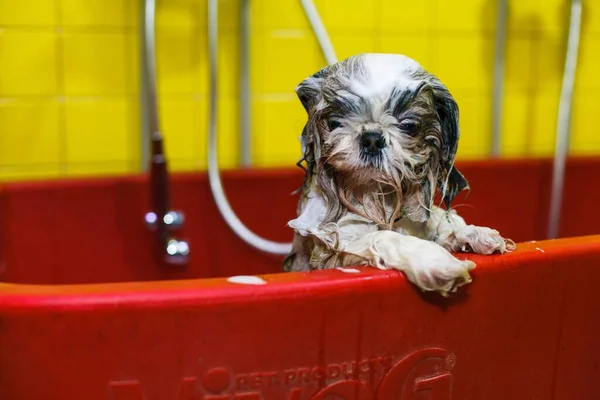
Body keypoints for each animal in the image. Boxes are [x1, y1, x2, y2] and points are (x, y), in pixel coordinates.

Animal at [284, 53, 516, 296]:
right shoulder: (328, 254)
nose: (372, 138)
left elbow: (442, 224)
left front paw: (473, 233)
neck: (375, 196)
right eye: (334, 122)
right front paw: (434, 261)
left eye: (409, 126)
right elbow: (382, 236)